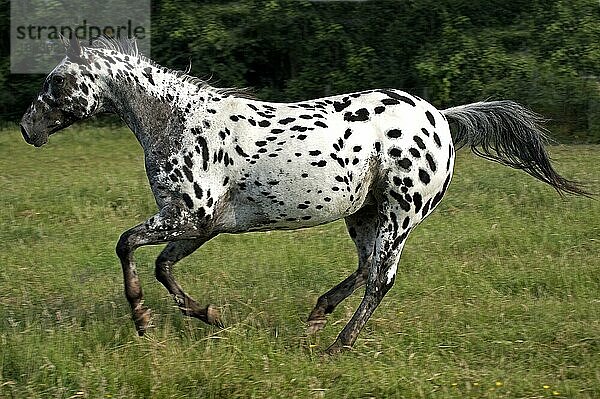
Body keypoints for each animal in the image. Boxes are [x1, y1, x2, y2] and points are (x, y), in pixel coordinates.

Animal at [21, 38, 588, 354]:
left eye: (56, 82)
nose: (27, 128)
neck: (175, 122)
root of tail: (443, 118)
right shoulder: (202, 224)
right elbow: (162, 266)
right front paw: (209, 315)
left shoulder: (190, 216)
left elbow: (126, 245)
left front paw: (141, 320)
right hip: (365, 214)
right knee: (366, 268)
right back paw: (318, 315)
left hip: (400, 214)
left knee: (381, 279)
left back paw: (338, 345)